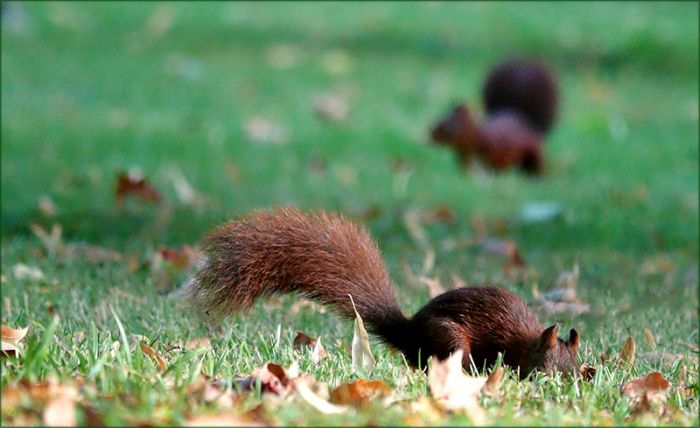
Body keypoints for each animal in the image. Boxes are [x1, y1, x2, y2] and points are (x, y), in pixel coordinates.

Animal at [181, 207, 579, 378]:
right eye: (548, 368)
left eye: (576, 368)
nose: (572, 383)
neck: (525, 341)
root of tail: (408, 334)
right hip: (449, 336)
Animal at [430, 58, 559, 175]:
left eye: (450, 127)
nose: (431, 135)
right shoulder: (464, 156)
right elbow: (466, 169)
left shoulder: (495, 150)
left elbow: (494, 165)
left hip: (534, 153)